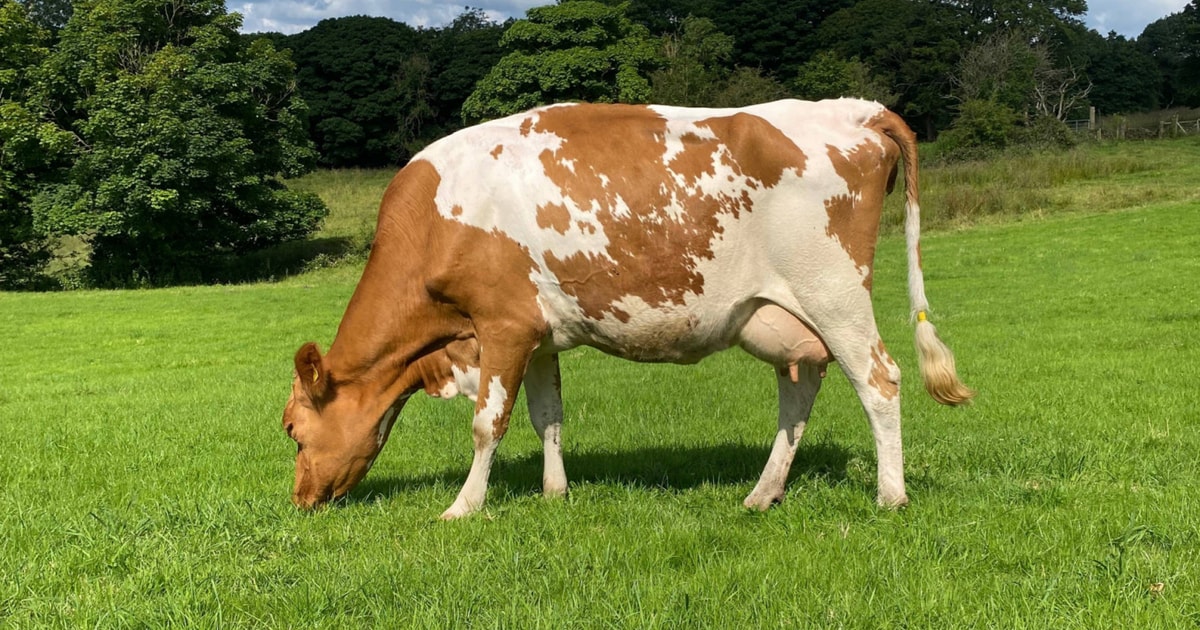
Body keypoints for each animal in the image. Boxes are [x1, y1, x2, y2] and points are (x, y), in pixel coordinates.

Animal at [281, 98, 973, 520]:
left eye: (291, 428)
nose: (300, 498)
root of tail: (853, 109)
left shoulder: (501, 325)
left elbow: (487, 425)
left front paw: (463, 507)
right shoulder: (537, 333)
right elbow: (547, 418)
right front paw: (555, 494)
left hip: (834, 291)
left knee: (879, 379)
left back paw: (889, 496)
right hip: (783, 317)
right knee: (800, 391)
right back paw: (761, 494)